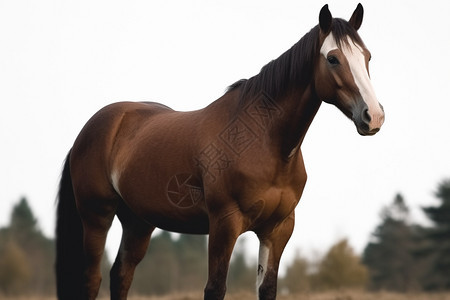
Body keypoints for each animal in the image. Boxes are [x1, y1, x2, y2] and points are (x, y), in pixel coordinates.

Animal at [55, 2, 384, 300]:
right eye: (333, 58)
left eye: (367, 56)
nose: (374, 116)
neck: (263, 142)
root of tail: (93, 128)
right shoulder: (225, 224)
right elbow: (215, 289)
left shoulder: (278, 229)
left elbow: (267, 289)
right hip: (96, 216)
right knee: (92, 280)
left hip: (138, 222)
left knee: (121, 275)